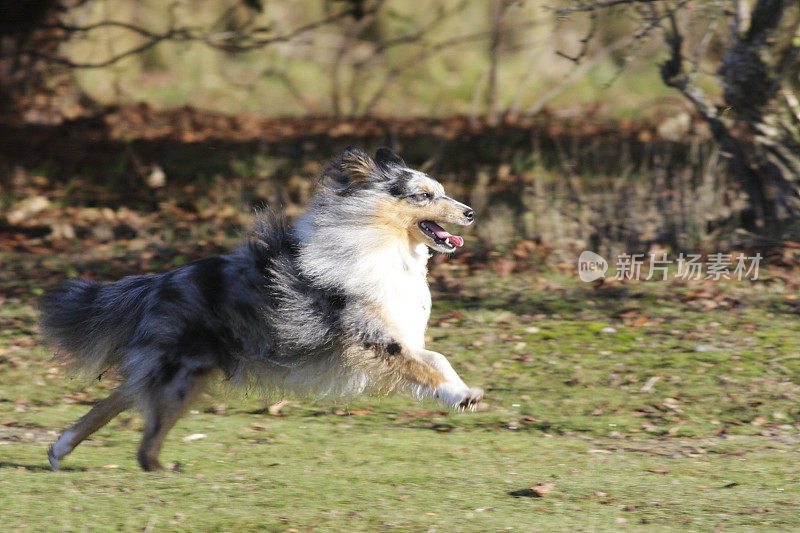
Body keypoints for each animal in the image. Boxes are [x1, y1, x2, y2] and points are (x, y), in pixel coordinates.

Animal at [42, 145, 482, 470]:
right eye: (423, 196)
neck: (384, 246)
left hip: (185, 372)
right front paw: (460, 396)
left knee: (123, 401)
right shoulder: (374, 338)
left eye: (441, 191)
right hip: (179, 373)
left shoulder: (398, 333)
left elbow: (437, 359)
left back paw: (62, 449)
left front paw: (464, 390)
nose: (470, 212)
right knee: (141, 434)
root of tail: (155, 284)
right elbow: (423, 367)